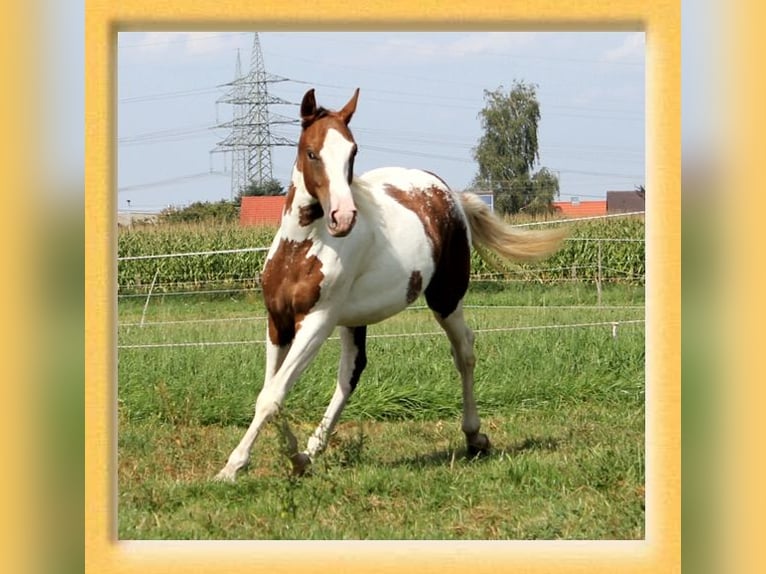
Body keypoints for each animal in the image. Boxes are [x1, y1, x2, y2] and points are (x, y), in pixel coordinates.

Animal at [214, 90, 564, 484]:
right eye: (312, 152)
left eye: (352, 152)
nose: (343, 217)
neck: (302, 246)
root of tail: (450, 195)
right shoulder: (278, 321)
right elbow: (272, 392)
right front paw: (296, 457)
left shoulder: (317, 322)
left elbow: (272, 396)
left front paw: (233, 467)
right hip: (355, 320)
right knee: (350, 374)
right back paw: (314, 448)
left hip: (445, 297)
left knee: (464, 351)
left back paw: (475, 436)